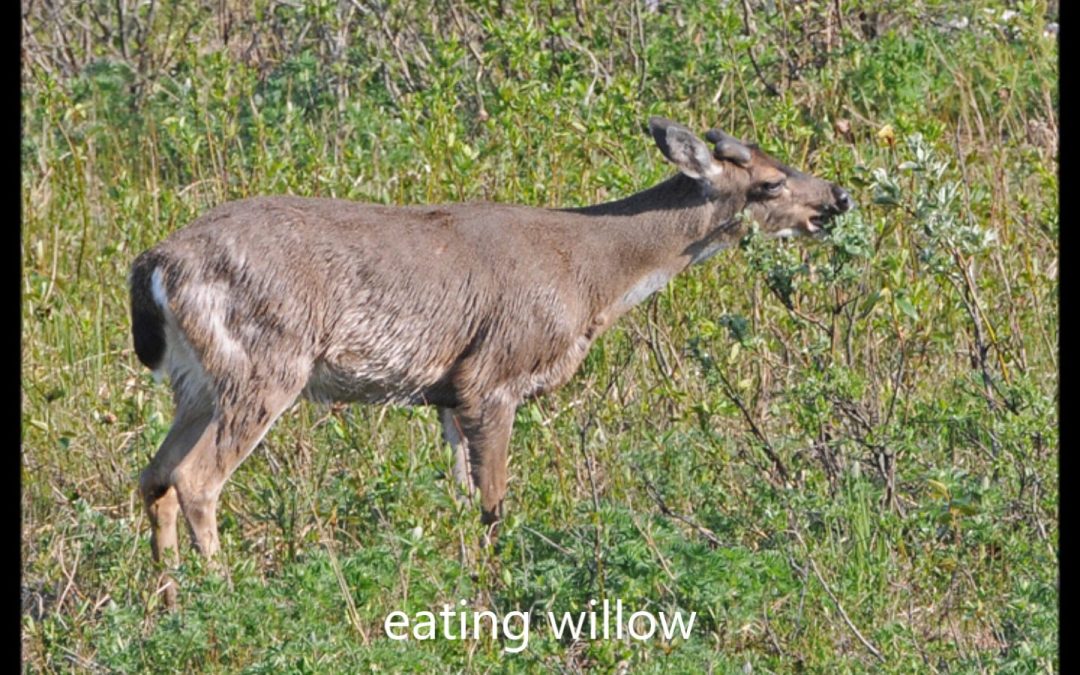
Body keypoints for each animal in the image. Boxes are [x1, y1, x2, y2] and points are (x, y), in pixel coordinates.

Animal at [130, 117, 852, 605]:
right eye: (768, 183)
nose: (838, 197)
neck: (592, 278)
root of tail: (157, 263)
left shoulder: (447, 396)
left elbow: (458, 499)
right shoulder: (492, 376)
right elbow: (493, 505)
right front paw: (494, 595)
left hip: (196, 382)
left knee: (154, 476)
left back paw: (169, 602)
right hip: (266, 363)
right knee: (196, 479)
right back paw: (226, 595)